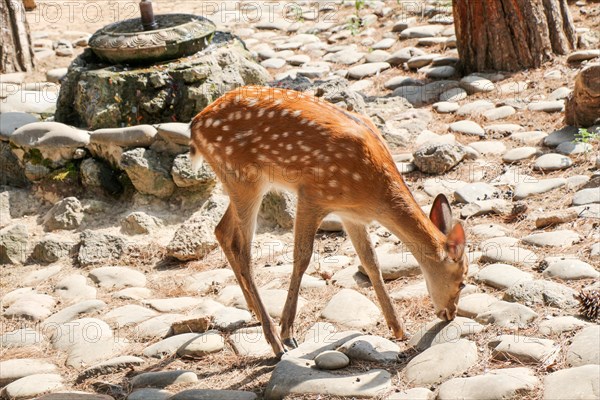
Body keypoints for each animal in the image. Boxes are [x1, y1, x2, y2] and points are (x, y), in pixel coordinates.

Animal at [191, 86, 468, 358]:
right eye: (463, 281)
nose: (450, 314)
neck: (373, 193)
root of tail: (195, 125)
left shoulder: (351, 215)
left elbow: (371, 261)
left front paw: (398, 328)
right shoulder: (312, 195)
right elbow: (302, 257)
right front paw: (288, 332)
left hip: (241, 182)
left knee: (222, 231)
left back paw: (253, 310)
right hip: (243, 177)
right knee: (242, 249)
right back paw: (275, 341)